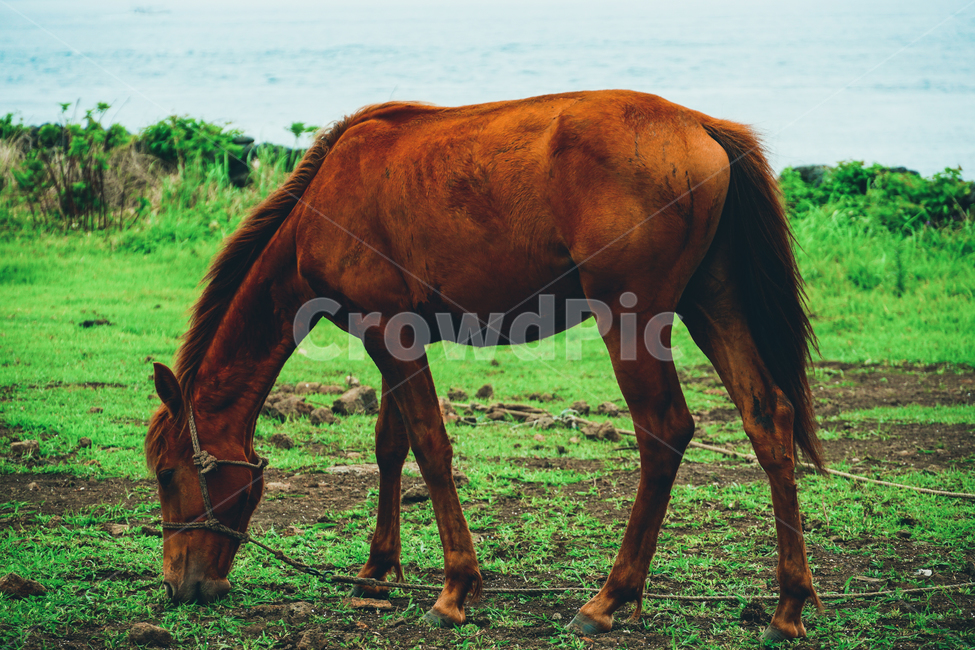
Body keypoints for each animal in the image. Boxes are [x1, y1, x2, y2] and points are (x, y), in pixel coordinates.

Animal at [145, 89, 824, 642]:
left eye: (167, 474)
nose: (178, 587)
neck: (324, 202)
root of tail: (699, 124)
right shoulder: (391, 334)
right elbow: (389, 445)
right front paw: (377, 571)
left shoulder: (390, 332)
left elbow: (430, 447)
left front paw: (454, 590)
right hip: (713, 304)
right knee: (768, 418)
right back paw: (788, 606)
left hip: (633, 320)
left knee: (664, 433)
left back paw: (608, 599)